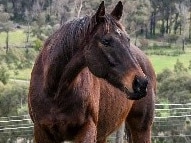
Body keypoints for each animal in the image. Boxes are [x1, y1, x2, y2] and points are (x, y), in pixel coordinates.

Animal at [28, 1, 157, 143]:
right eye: (106, 41)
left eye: (127, 39)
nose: (141, 83)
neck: (55, 92)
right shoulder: (41, 131)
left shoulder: (87, 129)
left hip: (141, 129)